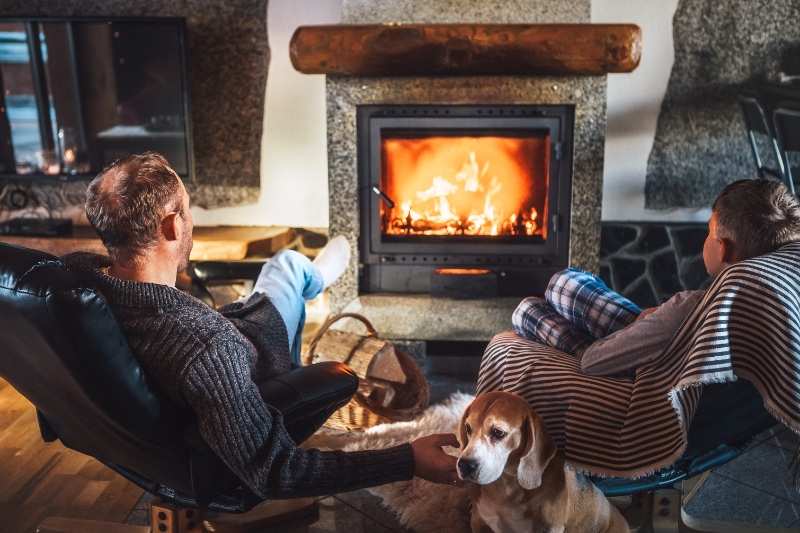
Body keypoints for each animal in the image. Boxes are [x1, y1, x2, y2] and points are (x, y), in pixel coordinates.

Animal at [460, 390, 628, 532]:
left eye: (498, 433)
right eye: (468, 428)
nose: (465, 465)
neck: (504, 487)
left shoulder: (549, 528)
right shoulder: (479, 522)